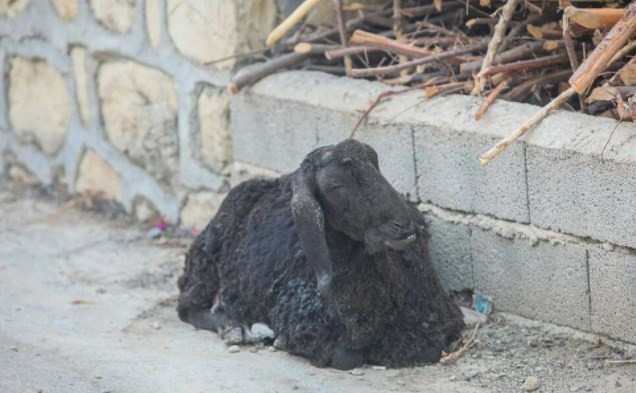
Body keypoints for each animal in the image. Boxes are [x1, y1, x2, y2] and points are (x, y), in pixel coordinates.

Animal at [176, 139, 464, 370]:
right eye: (335, 186)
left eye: (376, 167)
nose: (403, 225)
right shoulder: (302, 323)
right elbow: (345, 357)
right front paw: (282, 340)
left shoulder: (443, 318)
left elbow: (432, 348)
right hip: (205, 262)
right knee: (187, 308)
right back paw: (233, 327)